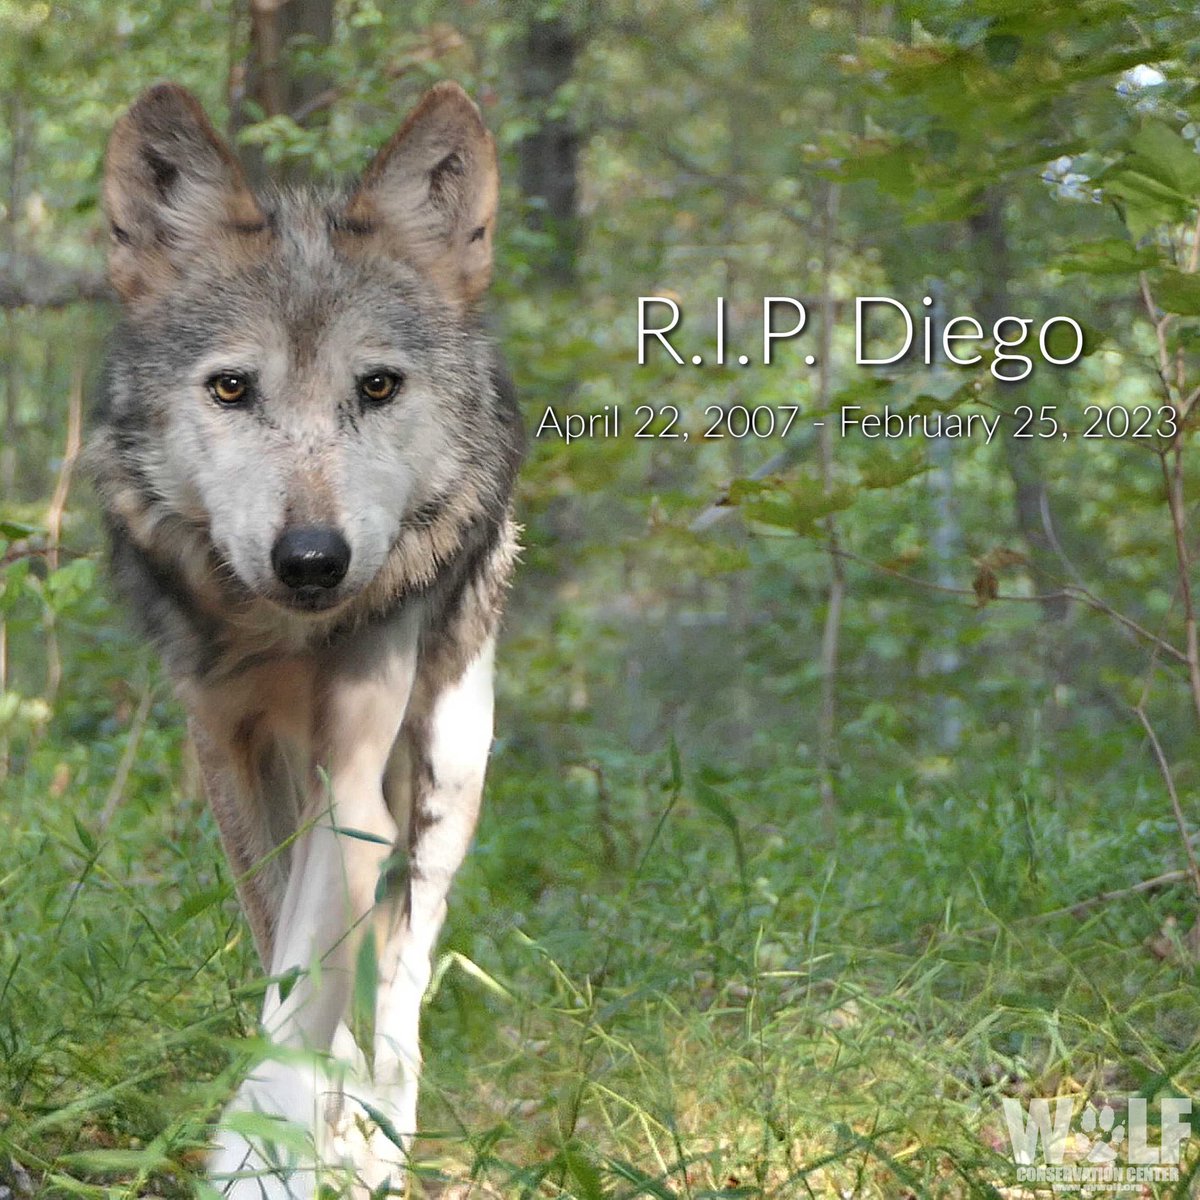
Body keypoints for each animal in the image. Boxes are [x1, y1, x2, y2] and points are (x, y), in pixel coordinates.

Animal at [85, 80, 523, 1196]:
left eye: (377, 388)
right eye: (231, 389)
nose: (314, 560)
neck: (283, 638)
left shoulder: (357, 777)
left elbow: (321, 980)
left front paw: (264, 1154)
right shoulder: (227, 751)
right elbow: (282, 952)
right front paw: (292, 1142)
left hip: (449, 771)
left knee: (405, 974)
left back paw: (382, 1132)